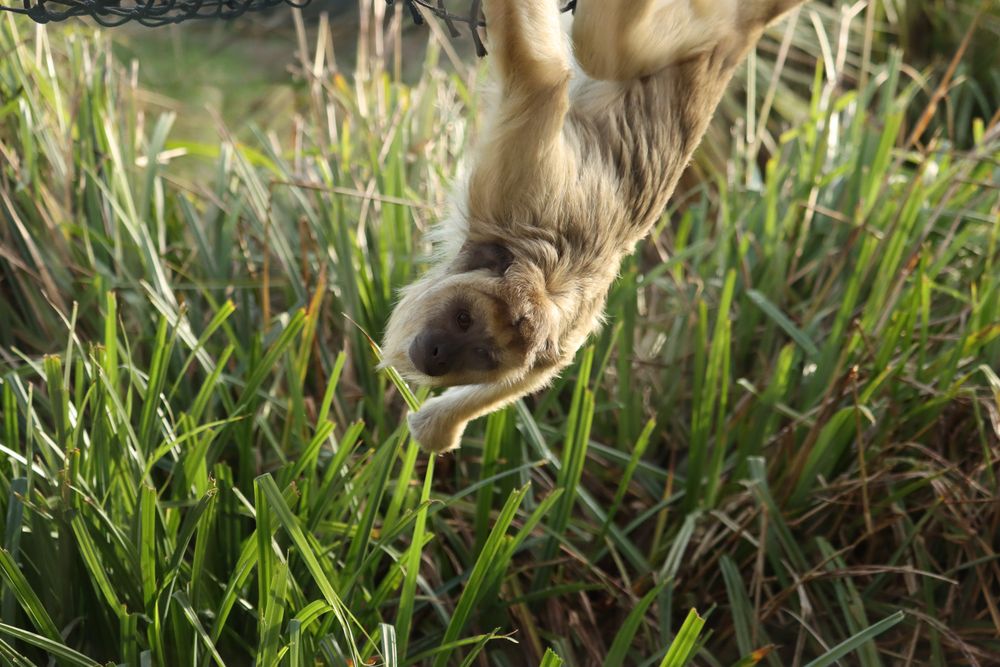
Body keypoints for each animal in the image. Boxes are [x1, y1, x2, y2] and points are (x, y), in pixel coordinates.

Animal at [380, 0, 811, 453]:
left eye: (483, 354)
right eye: (463, 319)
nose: (439, 354)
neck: (540, 275)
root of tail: (741, 32)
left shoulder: (564, 329)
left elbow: (536, 374)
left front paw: (440, 425)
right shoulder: (521, 188)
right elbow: (543, 78)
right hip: (690, 37)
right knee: (598, 46)